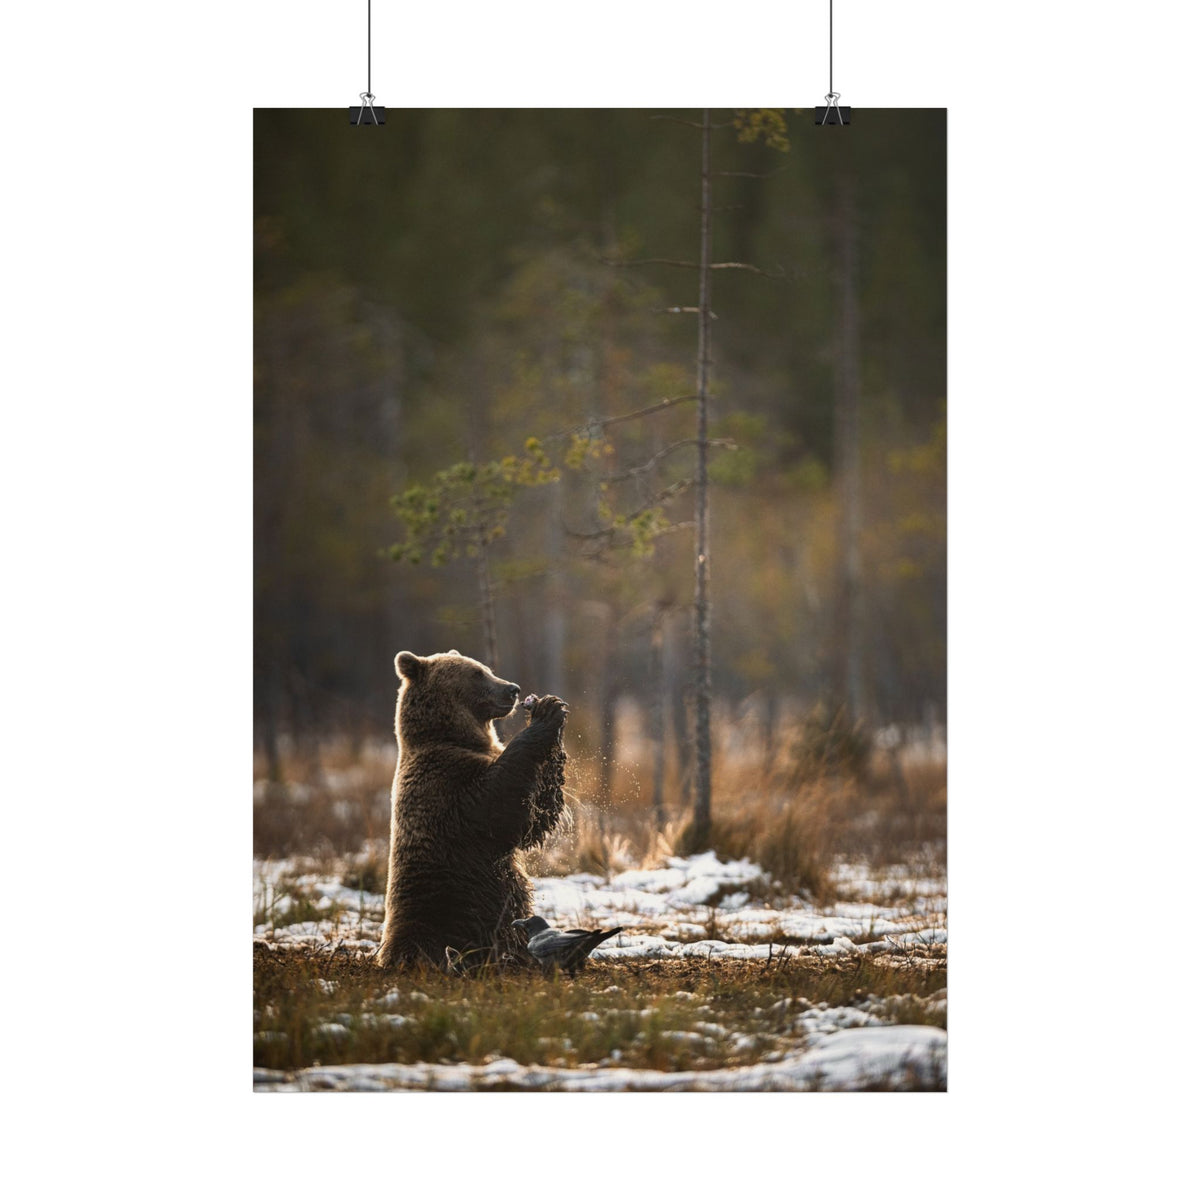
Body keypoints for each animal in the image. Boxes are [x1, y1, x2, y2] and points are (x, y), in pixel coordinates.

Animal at [374, 649, 568, 970]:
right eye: (477, 673)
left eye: (486, 668)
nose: (513, 689)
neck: (452, 736)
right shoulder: (450, 787)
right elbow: (501, 808)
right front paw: (547, 715)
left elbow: (533, 818)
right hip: (445, 912)